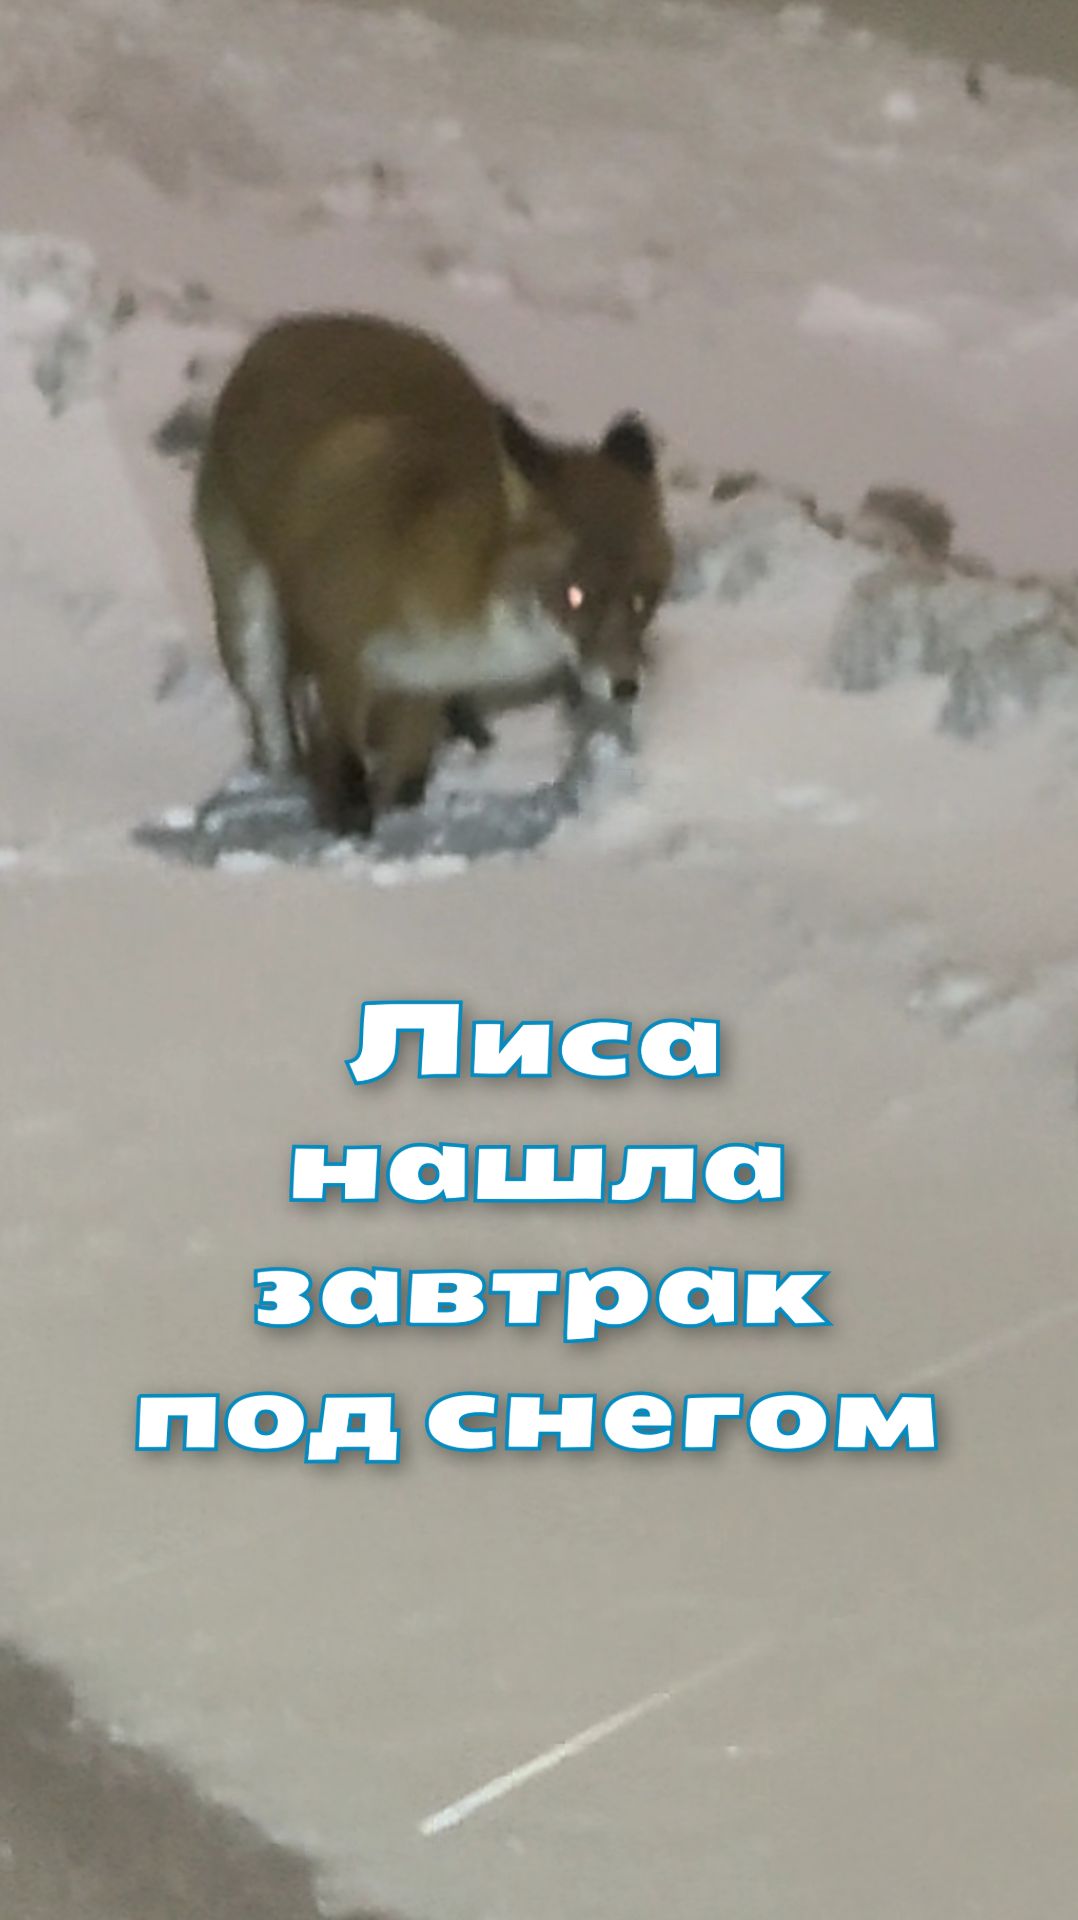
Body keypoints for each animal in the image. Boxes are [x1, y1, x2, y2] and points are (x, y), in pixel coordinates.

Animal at [194, 311, 673, 830]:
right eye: (575, 595)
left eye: (641, 599)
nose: (626, 687)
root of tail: (287, 328)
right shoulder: (338, 659)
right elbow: (344, 770)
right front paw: (348, 832)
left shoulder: (425, 683)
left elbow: (406, 778)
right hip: (251, 632)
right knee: (274, 732)